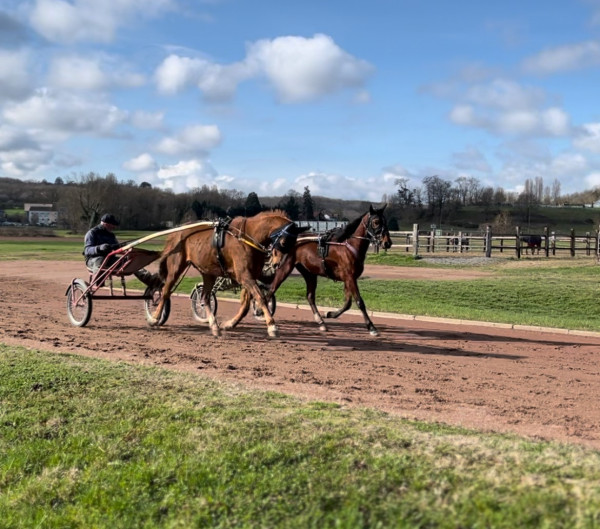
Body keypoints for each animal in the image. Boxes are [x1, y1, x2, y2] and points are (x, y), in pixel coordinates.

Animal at [149, 209, 308, 336]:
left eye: (294, 244)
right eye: (283, 242)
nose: (276, 264)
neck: (247, 236)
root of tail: (177, 231)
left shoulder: (250, 276)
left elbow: (246, 304)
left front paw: (230, 323)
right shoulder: (244, 275)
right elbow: (260, 297)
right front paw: (272, 326)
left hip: (208, 272)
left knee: (205, 297)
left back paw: (214, 326)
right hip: (176, 266)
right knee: (165, 291)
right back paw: (154, 317)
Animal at [262, 204, 394, 336]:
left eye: (385, 221)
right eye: (376, 222)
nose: (387, 242)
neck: (348, 246)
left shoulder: (348, 279)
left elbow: (348, 303)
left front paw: (329, 313)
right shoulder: (350, 277)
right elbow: (359, 302)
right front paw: (371, 327)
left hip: (309, 273)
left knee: (310, 296)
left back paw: (321, 322)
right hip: (285, 267)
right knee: (271, 290)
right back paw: (262, 312)